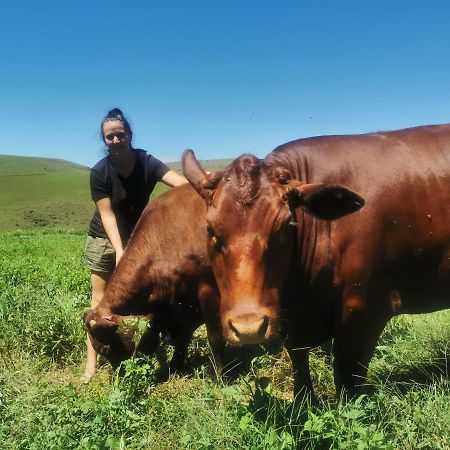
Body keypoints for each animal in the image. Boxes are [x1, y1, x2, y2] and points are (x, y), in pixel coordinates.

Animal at [183, 123, 450, 398]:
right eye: (210, 229)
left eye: (286, 227)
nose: (248, 327)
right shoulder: (293, 321)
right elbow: (299, 365)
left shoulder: (364, 310)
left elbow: (347, 377)